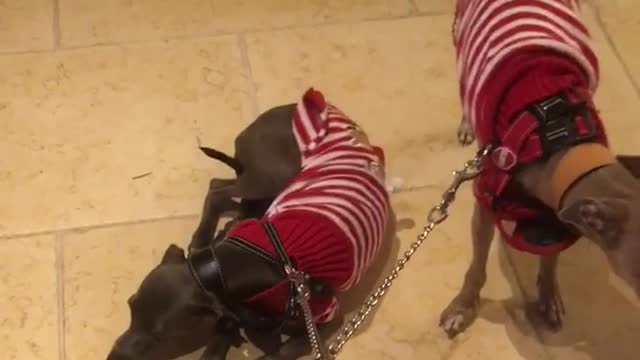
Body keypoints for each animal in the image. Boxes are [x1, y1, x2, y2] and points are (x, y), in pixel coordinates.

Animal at [109, 88, 390, 360]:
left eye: (160, 337)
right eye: (130, 305)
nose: (112, 356)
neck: (225, 266)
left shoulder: (326, 316)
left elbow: (282, 350)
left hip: (272, 175)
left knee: (220, 190)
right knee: (220, 189)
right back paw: (204, 237)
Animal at [440, 0, 640, 338]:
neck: (559, 138)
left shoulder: (555, 213)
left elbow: (549, 257)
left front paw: (547, 297)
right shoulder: (485, 203)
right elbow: (477, 267)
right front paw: (462, 308)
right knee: (465, 87)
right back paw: (467, 123)